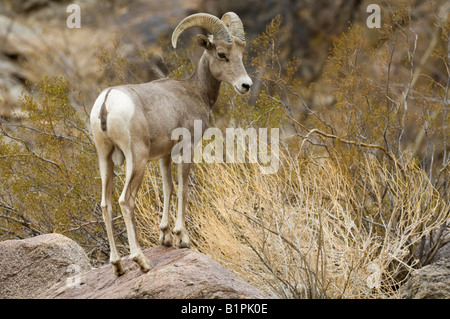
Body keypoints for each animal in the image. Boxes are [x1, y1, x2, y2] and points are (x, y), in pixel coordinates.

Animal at [90, 12, 253, 276]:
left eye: (241, 53)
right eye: (221, 54)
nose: (245, 85)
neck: (196, 91)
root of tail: (107, 102)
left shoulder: (164, 156)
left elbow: (168, 189)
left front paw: (165, 237)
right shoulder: (186, 149)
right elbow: (184, 189)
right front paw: (181, 238)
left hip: (105, 159)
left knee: (106, 204)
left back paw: (118, 266)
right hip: (136, 159)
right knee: (125, 201)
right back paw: (142, 261)